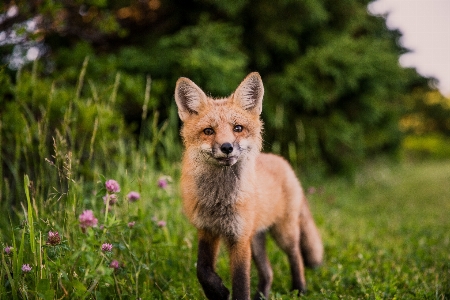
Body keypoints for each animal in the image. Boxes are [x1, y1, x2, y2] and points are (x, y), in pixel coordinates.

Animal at [173, 72, 324, 300]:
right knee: (268, 272)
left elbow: (241, 282)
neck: (219, 200)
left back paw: (300, 289)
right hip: (257, 239)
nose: (227, 147)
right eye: (208, 131)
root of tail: (282, 161)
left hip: (283, 233)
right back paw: (262, 295)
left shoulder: (239, 238)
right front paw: (217, 291)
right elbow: (202, 269)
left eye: (238, 128)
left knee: (296, 256)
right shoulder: (207, 230)